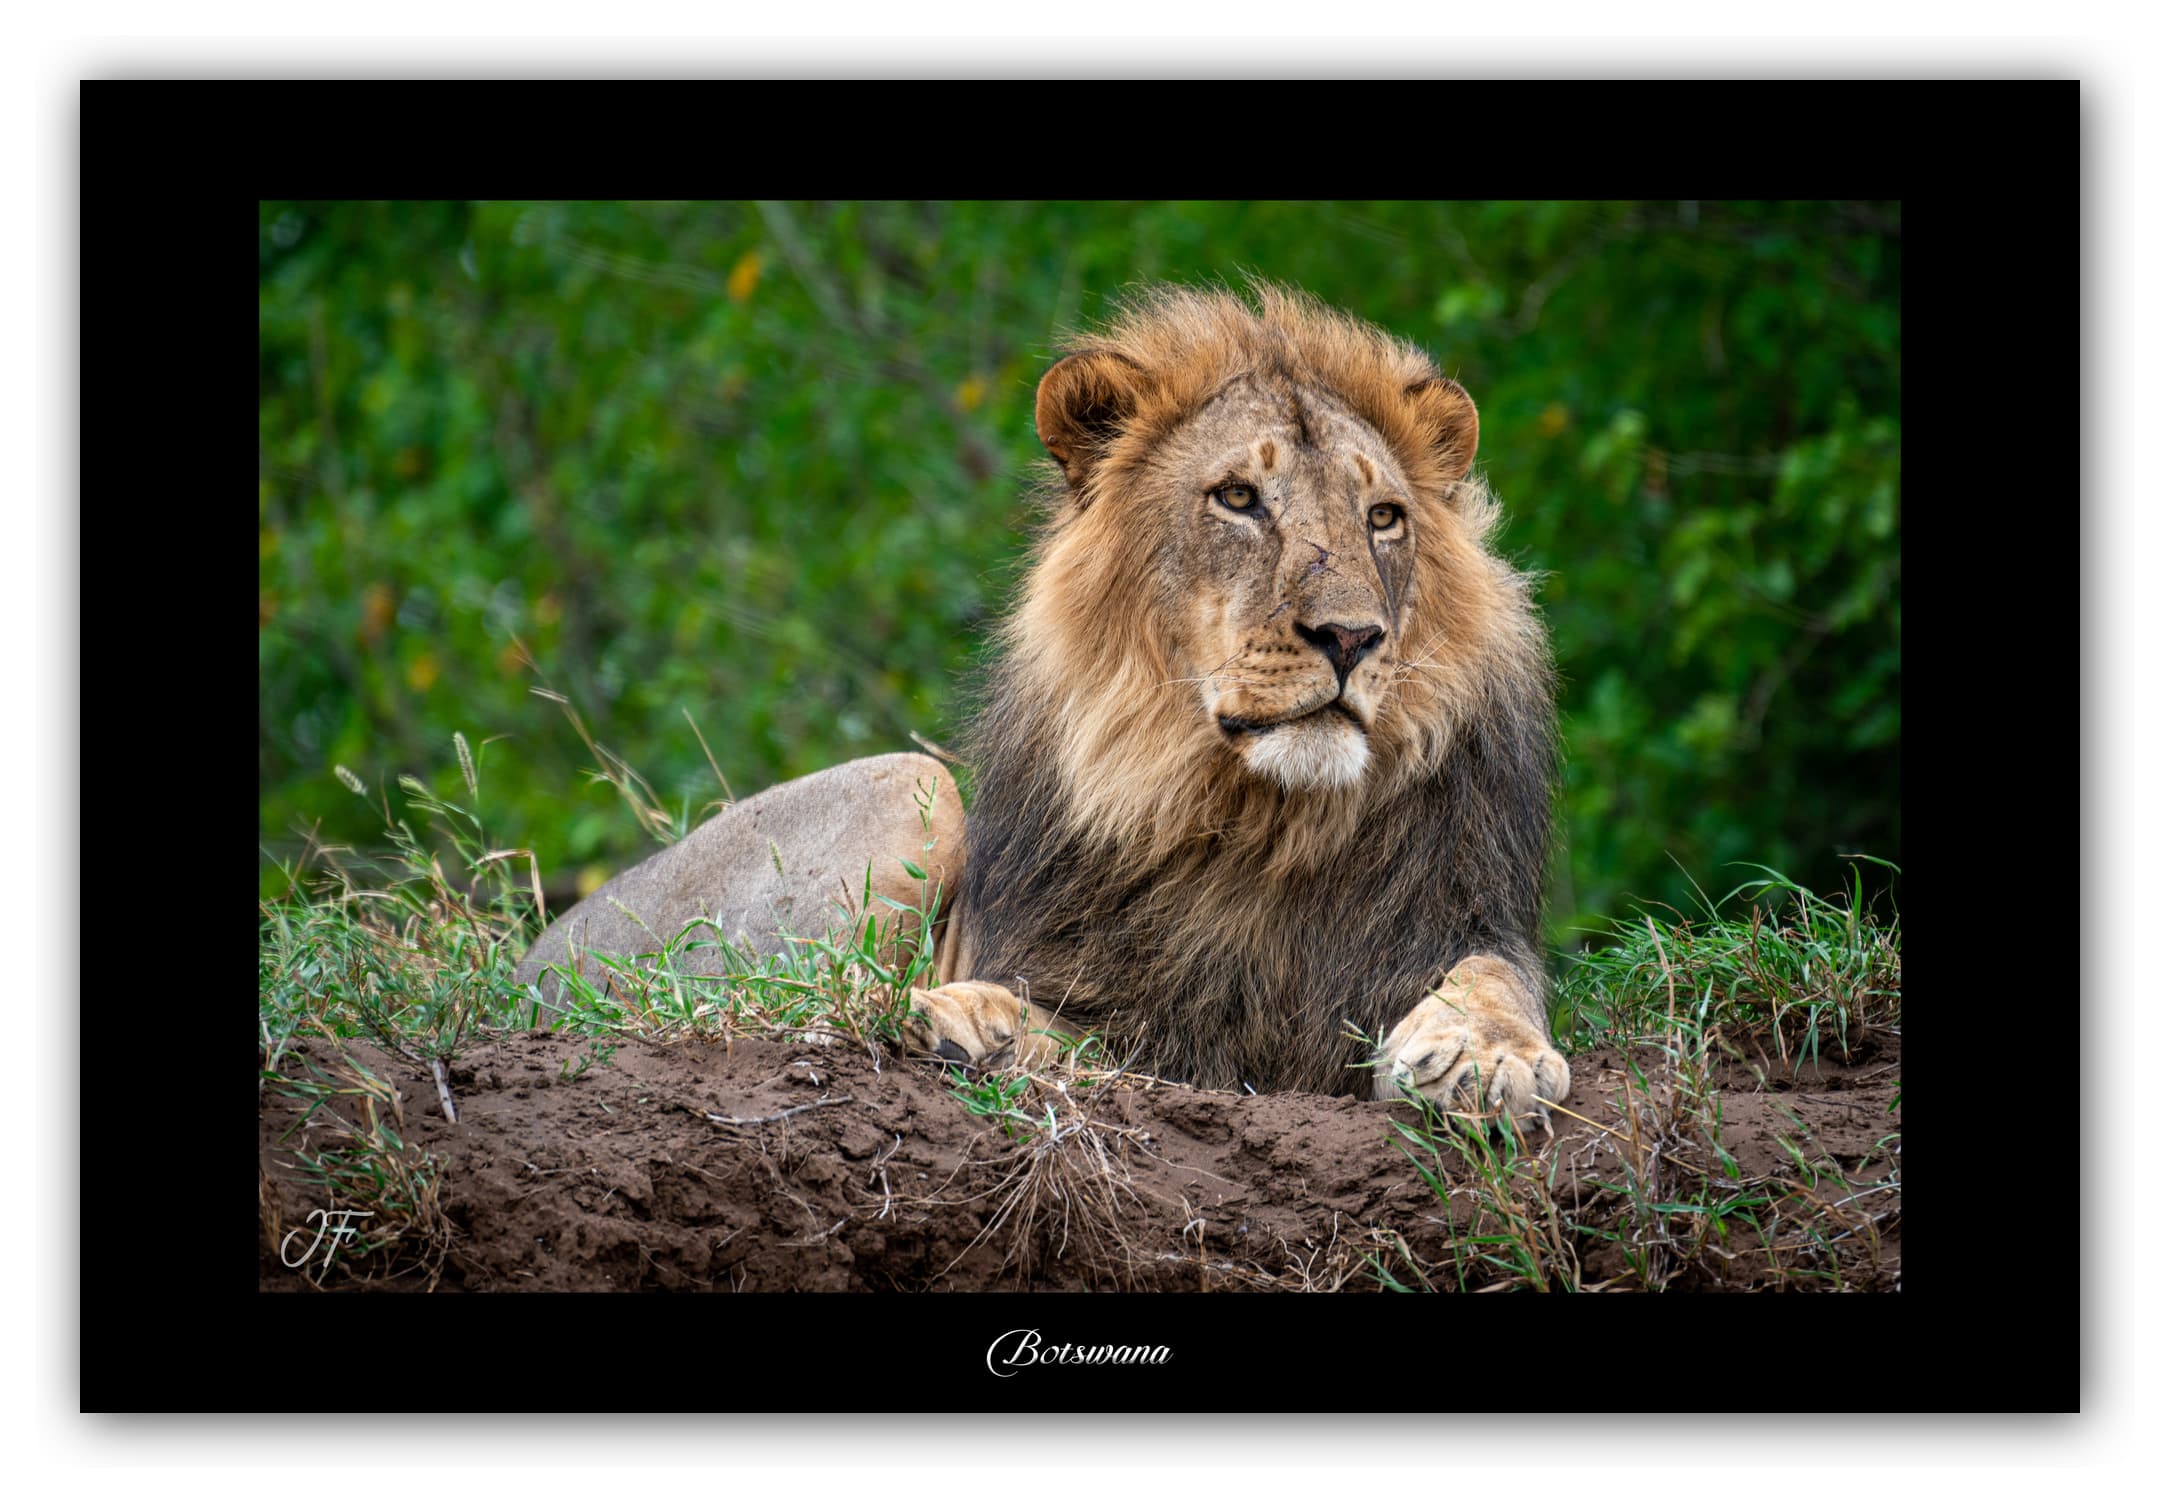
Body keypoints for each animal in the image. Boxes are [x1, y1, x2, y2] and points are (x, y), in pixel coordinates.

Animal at [514, 282, 1568, 1123]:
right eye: (1237, 498)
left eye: (1383, 516)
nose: (1352, 638)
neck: (1257, 822)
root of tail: (530, 958)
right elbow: (1073, 1028)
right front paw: (970, 1020)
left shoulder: (1463, 916)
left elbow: (1498, 978)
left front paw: (1480, 1056)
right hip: (911, 786)